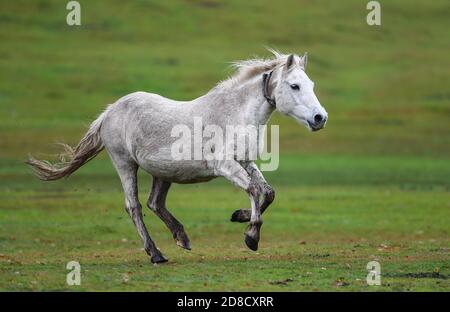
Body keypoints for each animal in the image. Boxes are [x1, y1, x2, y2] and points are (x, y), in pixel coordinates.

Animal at [28, 51, 326, 264]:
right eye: (295, 86)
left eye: (311, 84)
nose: (320, 118)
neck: (235, 112)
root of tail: (110, 111)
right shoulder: (225, 166)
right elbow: (254, 190)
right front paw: (251, 236)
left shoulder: (245, 162)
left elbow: (268, 192)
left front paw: (240, 216)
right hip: (125, 164)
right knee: (134, 206)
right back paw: (156, 254)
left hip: (163, 172)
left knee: (155, 203)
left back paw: (181, 238)